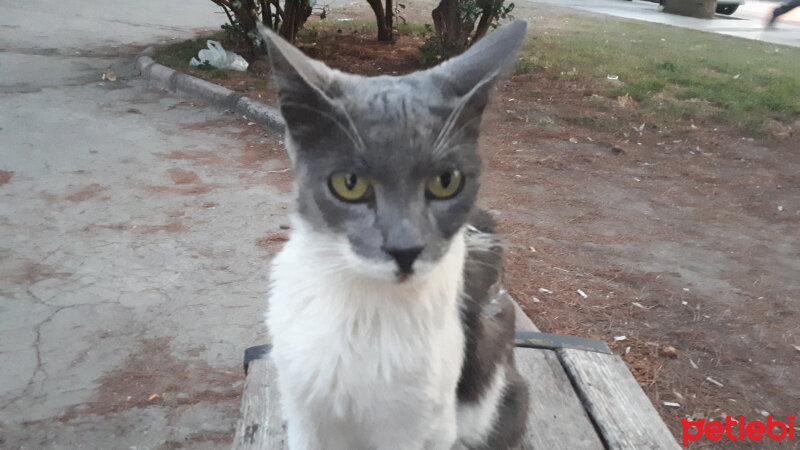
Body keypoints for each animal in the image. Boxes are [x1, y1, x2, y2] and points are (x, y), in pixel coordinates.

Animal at [260, 20, 528, 450]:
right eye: (349, 183)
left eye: (446, 181)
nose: (405, 249)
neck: (362, 305)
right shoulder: (305, 411)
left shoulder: (417, 423)